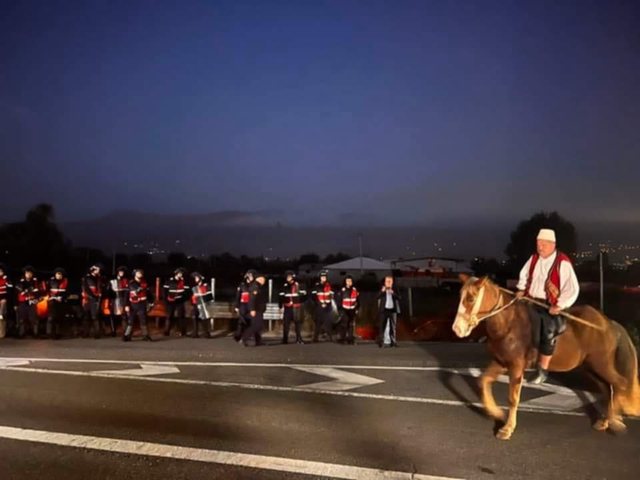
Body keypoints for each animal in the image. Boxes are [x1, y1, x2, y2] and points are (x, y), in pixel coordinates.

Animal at [452, 276, 636, 440]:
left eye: (471, 298)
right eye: (460, 296)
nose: (457, 329)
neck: (508, 323)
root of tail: (609, 324)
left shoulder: (516, 366)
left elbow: (513, 398)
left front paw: (507, 428)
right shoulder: (500, 362)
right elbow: (483, 381)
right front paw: (496, 412)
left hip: (601, 364)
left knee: (620, 383)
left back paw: (614, 421)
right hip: (590, 367)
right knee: (607, 388)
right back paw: (604, 421)